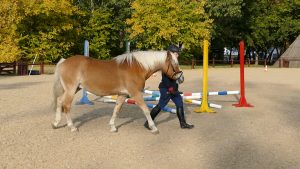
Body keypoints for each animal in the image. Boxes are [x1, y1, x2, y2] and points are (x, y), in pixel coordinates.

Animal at [51, 49, 183, 134]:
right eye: (175, 63)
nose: (181, 78)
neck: (136, 67)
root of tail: (63, 61)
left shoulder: (123, 94)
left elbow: (116, 109)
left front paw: (112, 127)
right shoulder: (136, 93)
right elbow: (145, 110)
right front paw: (153, 127)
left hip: (73, 89)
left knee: (59, 101)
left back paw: (56, 123)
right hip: (71, 89)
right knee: (66, 105)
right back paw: (72, 127)